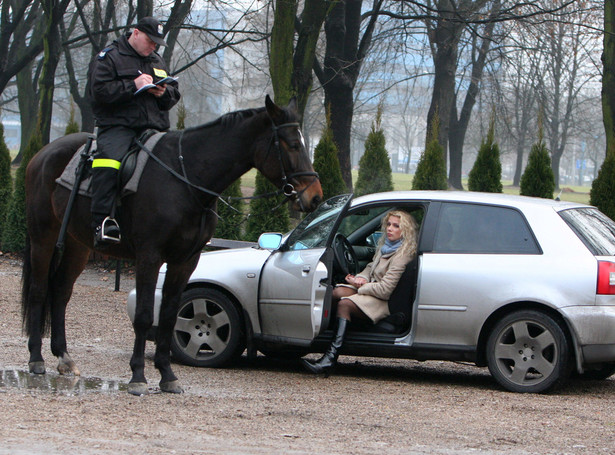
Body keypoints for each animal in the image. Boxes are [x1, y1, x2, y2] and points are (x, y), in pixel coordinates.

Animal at [22, 95, 324, 396]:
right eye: (292, 144)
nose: (315, 196)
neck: (186, 177)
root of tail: (43, 154)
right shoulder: (149, 256)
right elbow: (145, 315)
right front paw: (138, 376)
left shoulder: (185, 260)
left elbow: (168, 316)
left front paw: (167, 375)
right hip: (43, 237)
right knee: (38, 290)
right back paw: (36, 359)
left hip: (77, 245)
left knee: (60, 293)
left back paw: (63, 357)